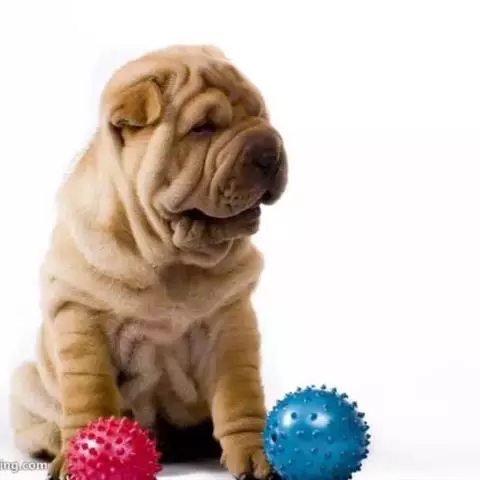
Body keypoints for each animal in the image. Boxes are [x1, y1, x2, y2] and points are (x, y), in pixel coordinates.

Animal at [9, 45, 287, 479]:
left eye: (260, 114)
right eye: (203, 128)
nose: (269, 149)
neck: (168, 255)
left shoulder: (230, 321)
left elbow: (238, 393)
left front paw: (255, 451)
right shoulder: (80, 315)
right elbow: (90, 392)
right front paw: (82, 456)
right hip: (26, 382)